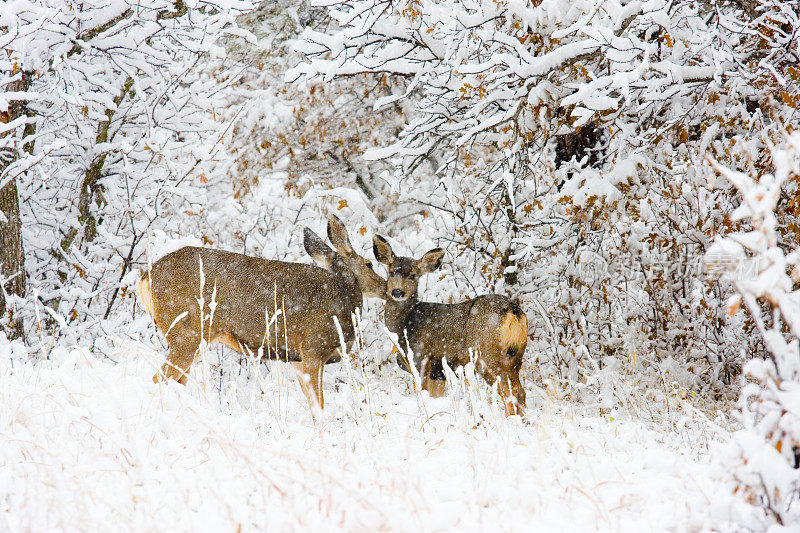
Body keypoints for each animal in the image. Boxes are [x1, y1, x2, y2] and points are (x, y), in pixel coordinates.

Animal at [136, 214, 386, 414]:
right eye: (369, 264)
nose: (387, 288)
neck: (342, 297)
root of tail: (145, 278)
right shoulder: (314, 348)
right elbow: (319, 407)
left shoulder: (297, 359)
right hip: (187, 332)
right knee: (159, 378)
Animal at [374, 234, 532, 416]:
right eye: (392, 272)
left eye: (413, 275)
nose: (397, 292)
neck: (405, 325)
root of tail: (514, 311)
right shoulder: (438, 371)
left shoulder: (421, 360)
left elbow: (423, 395)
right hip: (514, 358)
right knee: (520, 392)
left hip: (487, 357)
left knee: (508, 394)